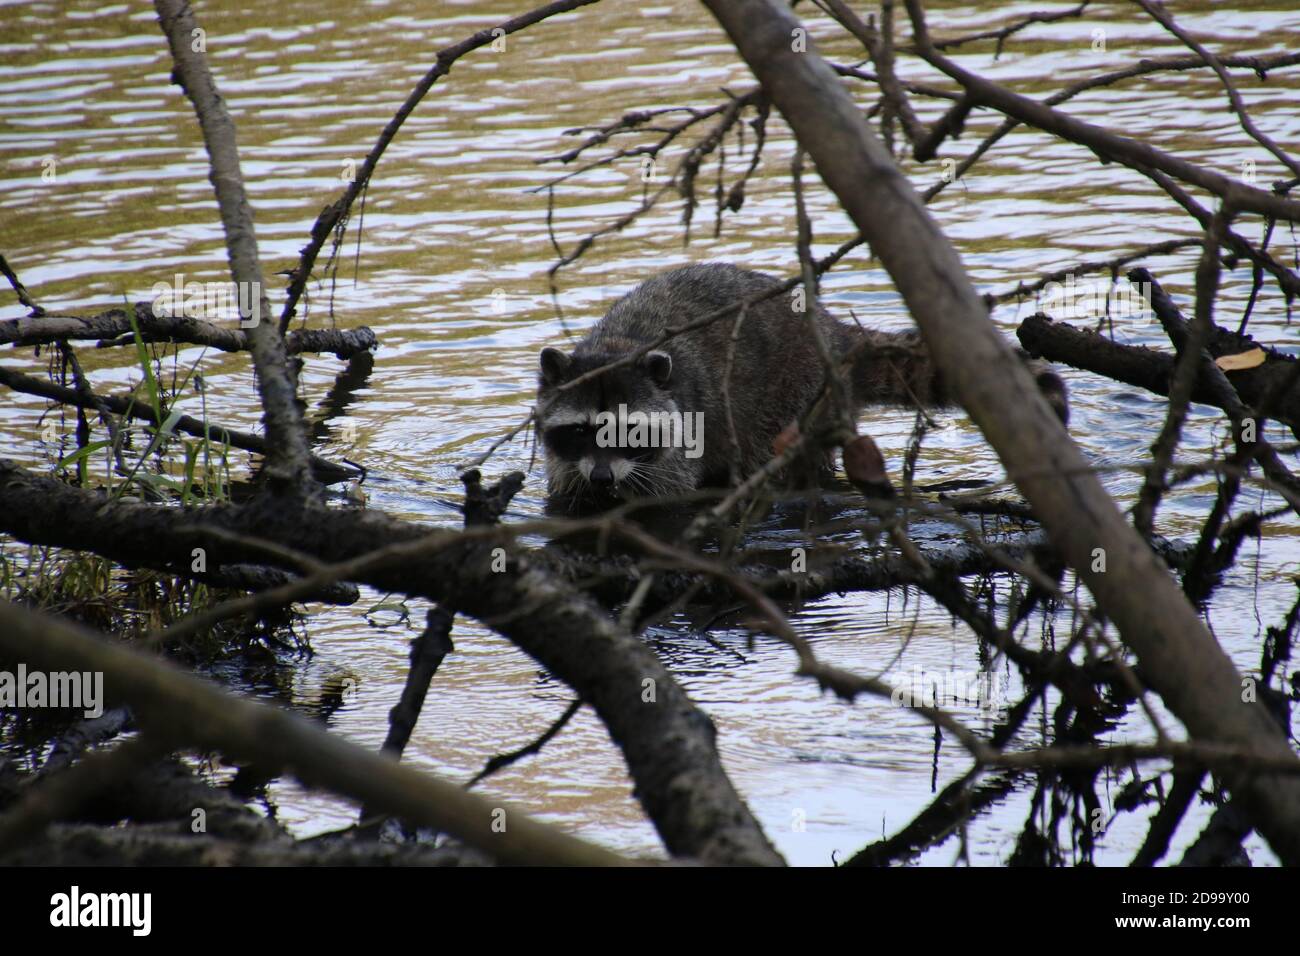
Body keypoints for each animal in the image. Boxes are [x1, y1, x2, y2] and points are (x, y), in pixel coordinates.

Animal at [536, 263, 1066, 509]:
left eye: (628, 432)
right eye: (582, 431)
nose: (601, 478)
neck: (621, 344)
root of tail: (834, 334)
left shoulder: (684, 432)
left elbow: (666, 495)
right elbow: (565, 487)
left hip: (797, 391)